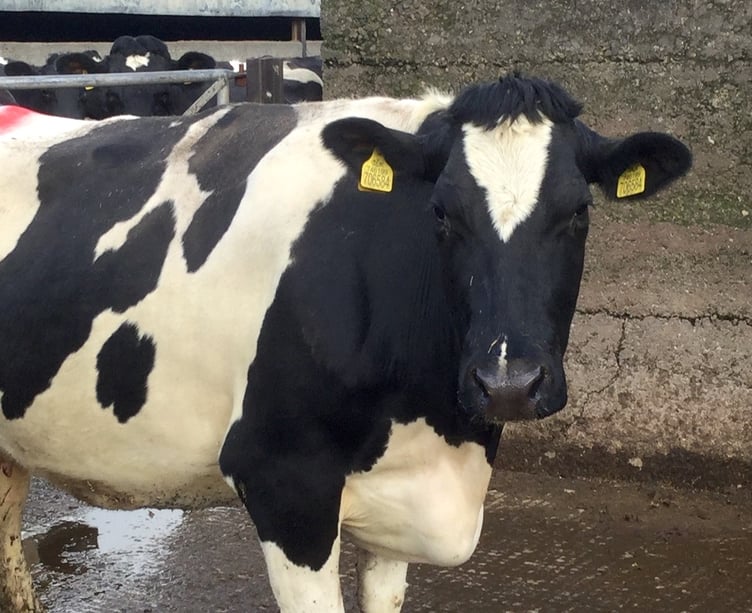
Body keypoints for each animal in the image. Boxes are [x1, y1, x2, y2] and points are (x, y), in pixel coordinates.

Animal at [0, 74, 691, 612]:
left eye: (579, 211)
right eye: (441, 213)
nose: (508, 384)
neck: (445, 438)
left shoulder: (399, 493)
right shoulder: (284, 479)